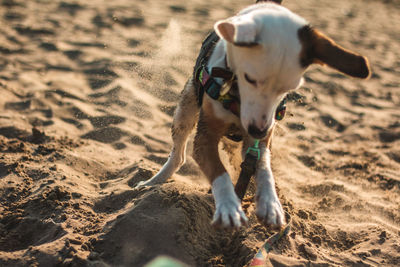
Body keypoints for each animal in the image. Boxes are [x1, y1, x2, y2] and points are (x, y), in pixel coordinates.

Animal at [136, 1, 370, 229]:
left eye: (289, 88)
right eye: (250, 78)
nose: (258, 130)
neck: (235, 93)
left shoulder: (261, 140)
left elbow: (264, 169)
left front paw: (270, 204)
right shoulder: (205, 137)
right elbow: (219, 173)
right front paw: (229, 206)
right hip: (185, 110)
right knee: (178, 155)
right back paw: (153, 181)